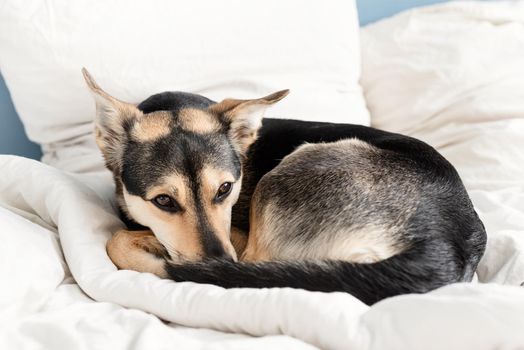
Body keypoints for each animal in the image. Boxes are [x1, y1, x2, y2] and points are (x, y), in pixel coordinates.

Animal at [82, 67, 488, 304]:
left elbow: (118, 239)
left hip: (291, 174)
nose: (218, 262)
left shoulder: (238, 238)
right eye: (164, 200)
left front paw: (154, 254)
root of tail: (445, 240)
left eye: (225, 189)